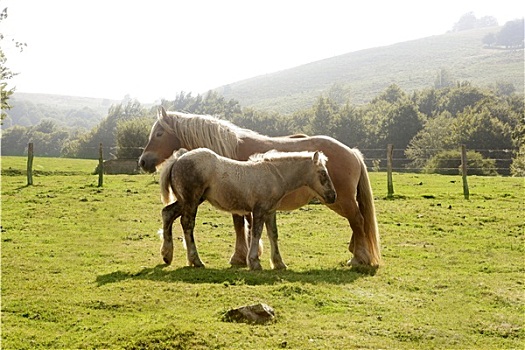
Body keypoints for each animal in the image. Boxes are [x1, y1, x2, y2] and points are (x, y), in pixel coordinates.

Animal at [158, 146, 336, 270]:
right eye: (322, 173)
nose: (333, 196)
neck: (274, 175)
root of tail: (177, 159)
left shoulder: (270, 211)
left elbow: (273, 234)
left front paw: (279, 263)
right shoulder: (259, 210)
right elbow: (256, 233)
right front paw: (254, 262)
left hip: (188, 200)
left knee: (167, 213)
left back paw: (167, 255)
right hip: (192, 200)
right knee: (187, 223)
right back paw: (195, 260)